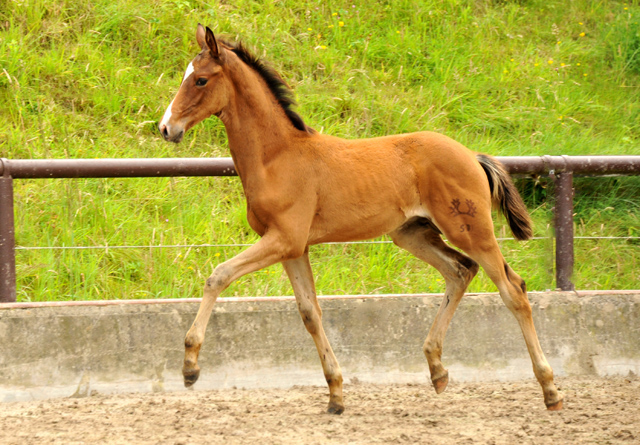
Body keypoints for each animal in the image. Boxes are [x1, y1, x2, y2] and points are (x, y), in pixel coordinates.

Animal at [159, 24, 560, 412]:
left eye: (200, 80)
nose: (166, 128)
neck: (276, 156)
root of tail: (473, 156)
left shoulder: (284, 239)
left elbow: (218, 276)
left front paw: (190, 366)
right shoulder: (293, 248)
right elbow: (310, 313)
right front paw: (336, 394)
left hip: (470, 230)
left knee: (513, 289)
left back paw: (550, 390)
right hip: (412, 233)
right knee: (460, 271)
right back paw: (437, 370)